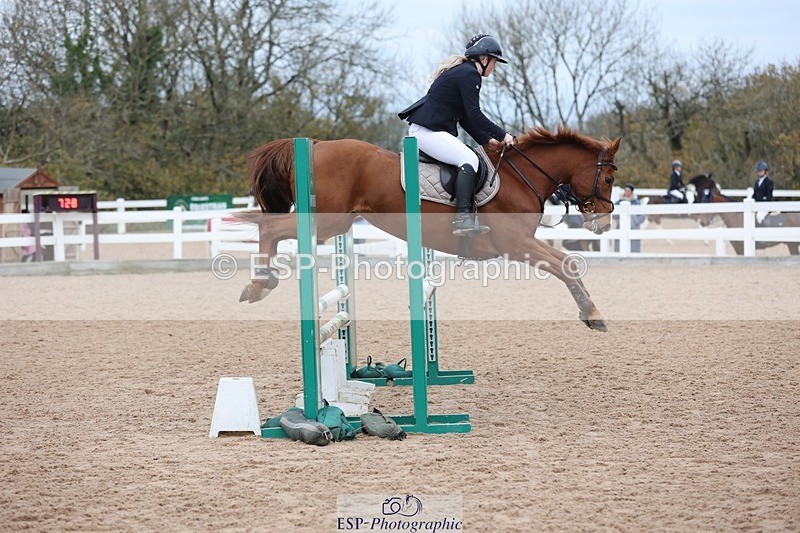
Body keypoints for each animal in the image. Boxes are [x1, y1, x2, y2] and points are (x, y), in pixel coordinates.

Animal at [236, 126, 622, 331]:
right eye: (608, 178)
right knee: (269, 227)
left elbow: (568, 263)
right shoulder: (516, 243)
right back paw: (257, 285)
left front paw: (589, 311)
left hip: (337, 222)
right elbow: (565, 265)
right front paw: (593, 313)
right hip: (330, 219)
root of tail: (316, 145)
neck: (520, 176)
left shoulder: (523, 242)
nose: (603, 222)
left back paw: (262, 282)